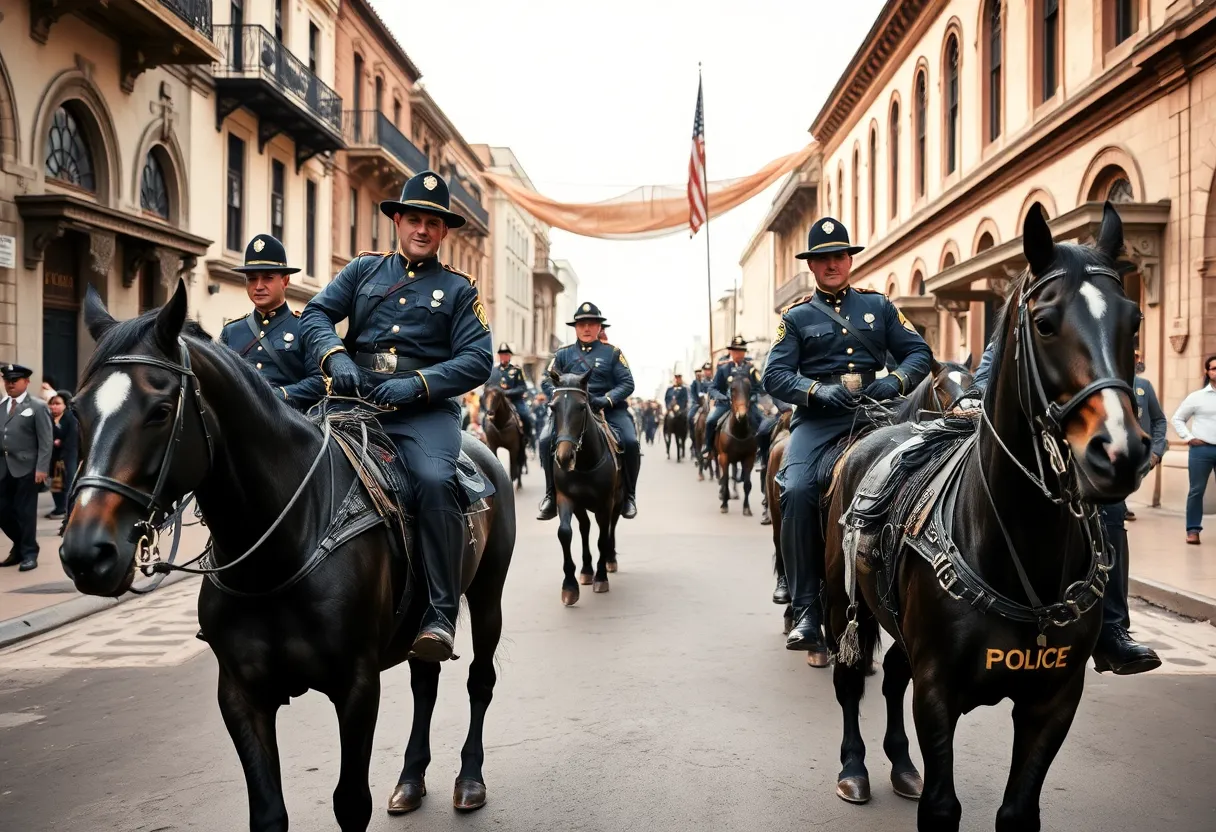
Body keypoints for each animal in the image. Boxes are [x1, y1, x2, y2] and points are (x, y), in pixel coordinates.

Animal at [59, 282, 515, 827]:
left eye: (160, 411)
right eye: (78, 410)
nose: (86, 551)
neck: (279, 550)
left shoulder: (357, 688)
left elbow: (350, 803)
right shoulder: (240, 695)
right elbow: (268, 812)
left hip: (487, 598)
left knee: (479, 682)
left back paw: (470, 780)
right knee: (425, 681)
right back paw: (410, 781)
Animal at [552, 369, 627, 603]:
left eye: (582, 407)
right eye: (553, 407)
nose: (564, 457)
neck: (584, 464)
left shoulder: (605, 503)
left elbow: (603, 539)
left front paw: (601, 577)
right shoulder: (566, 498)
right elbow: (565, 533)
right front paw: (569, 586)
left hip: (617, 501)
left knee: (611, 527)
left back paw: (610, 560)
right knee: (584, 529)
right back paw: (586, 570)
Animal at [710, 374, 753, 513]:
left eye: (749, 389)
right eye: (732, 389)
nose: (742, 415)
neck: (739, 432)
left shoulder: (749, 458)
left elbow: (747, 484)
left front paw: (746, 508)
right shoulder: (724, 456)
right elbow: (725, 480)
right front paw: (724, 504)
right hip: (718, 454)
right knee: (723, 475)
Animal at [817, 203, 1147, 832]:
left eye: (1135, 320)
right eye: (1045, 323)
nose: (1119, 451)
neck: (1020, 543)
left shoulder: (1054, 701)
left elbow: (1017, 813)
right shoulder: (938, 691)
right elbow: (942, 807)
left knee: (891, 674)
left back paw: (902, 766)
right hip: (841, 601)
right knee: (849, 681)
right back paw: (852, 769)